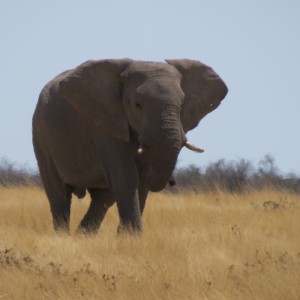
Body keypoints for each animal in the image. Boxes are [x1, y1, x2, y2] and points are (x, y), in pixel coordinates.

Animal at [32, 58, 227, 232]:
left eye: (182, 104)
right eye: (137, 105)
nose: (172, 182)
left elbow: (140, 181)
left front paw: (127, 237)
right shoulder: (105, 122)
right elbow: (126, 177)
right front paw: (132, 236)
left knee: (102, 198)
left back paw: (83, 236)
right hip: (40, 133)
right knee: (58, 193)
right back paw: (63, 236)